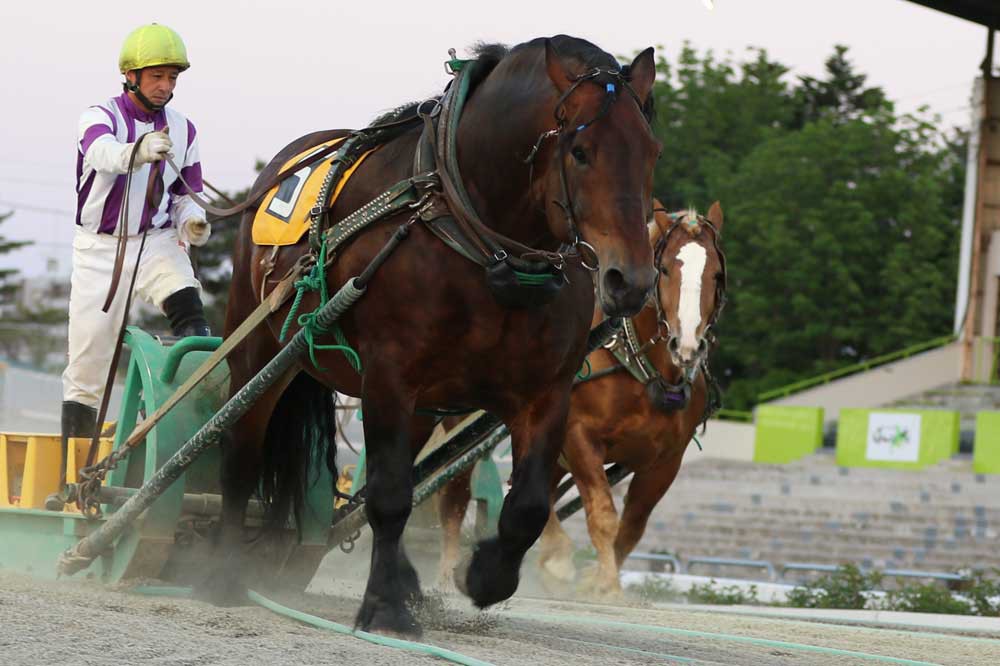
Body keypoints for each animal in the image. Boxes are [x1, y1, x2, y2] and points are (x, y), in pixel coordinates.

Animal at [215, 36, 660, 632]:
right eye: (581, 153)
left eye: (651, 151)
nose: (629, 280)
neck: (483, 248)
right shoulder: (388, 377)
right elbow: (388, 494)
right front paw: (383, 604)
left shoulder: (546, 392)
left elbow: (528, 506)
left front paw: (485, 574)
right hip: (258, 352)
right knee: (240, 455)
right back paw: (221, 571)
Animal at [434, 202, 724, 596]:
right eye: (664, 269)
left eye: (716, 275)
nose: (687, 345)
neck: (639, 365)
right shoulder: (578, 435)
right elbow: (602, 515)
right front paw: (600, 582)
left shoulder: (665, 462)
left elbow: (632, 528)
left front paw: (594, 580)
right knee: (455, 497)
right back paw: (448, 574)